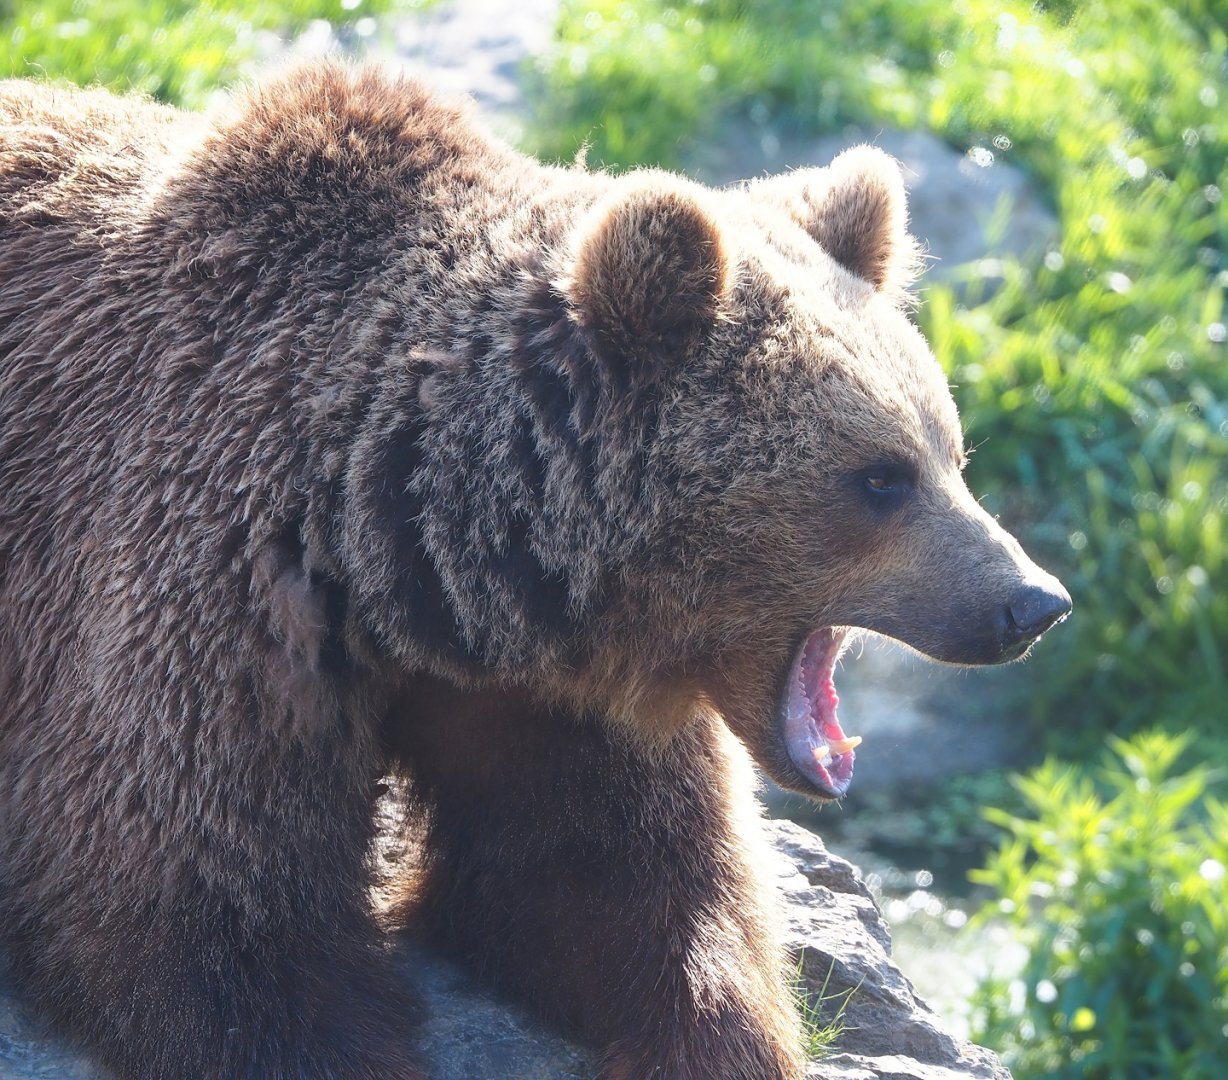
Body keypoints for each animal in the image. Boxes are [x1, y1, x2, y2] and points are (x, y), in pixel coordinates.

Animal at [0, 64, 1070, 1080]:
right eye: (881, 476)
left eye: (952, 451)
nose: (1032, 602)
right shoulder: (211, 593)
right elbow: (215, 926)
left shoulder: (556, 691)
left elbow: (611, 884)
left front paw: (716, 1031)